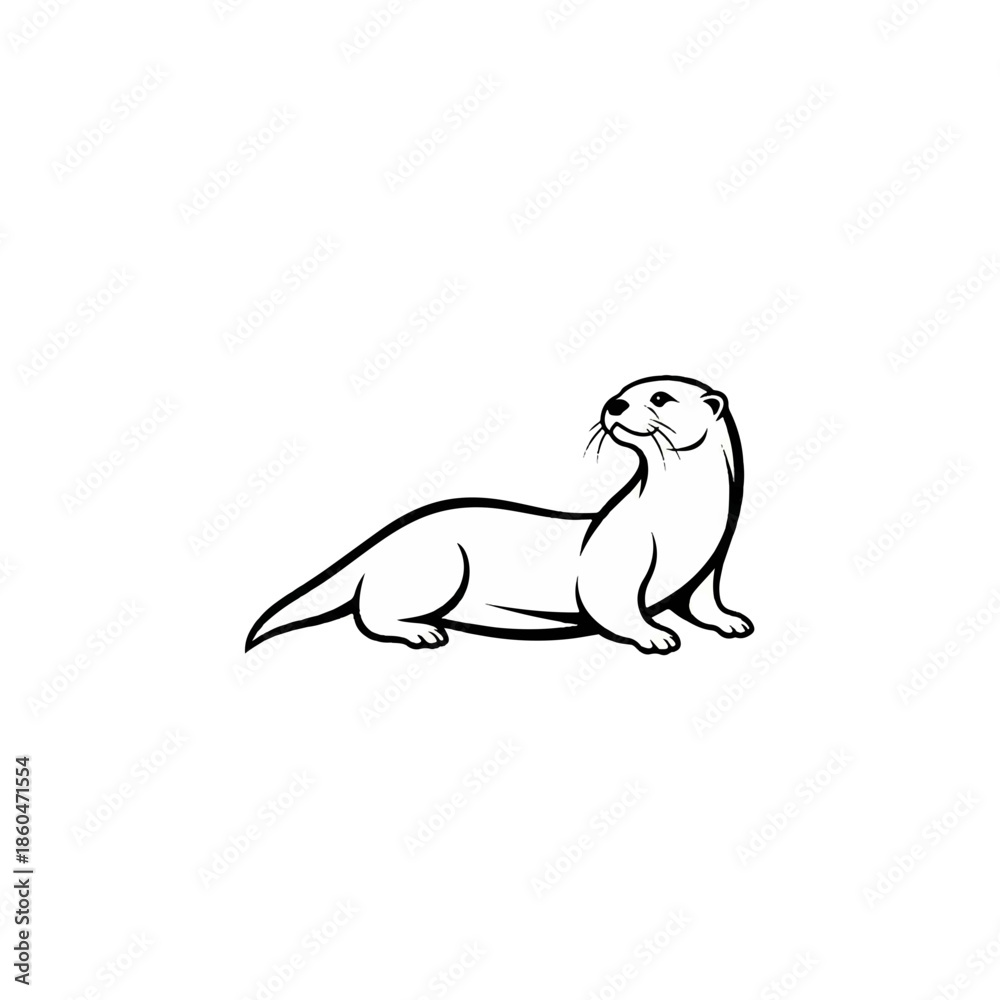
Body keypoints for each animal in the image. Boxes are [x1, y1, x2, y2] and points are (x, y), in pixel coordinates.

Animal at [245, 375, 753, 655]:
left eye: (661, 398)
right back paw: (422, 632)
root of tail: (385, 538)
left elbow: (704, 601)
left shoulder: (713, 561)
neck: (685, 519)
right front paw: (654, 635)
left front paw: (731, 621)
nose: (615, 405)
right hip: (436, 564)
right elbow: (612, 604)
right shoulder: (617, 558)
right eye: (622, 393)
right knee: (368, 612)